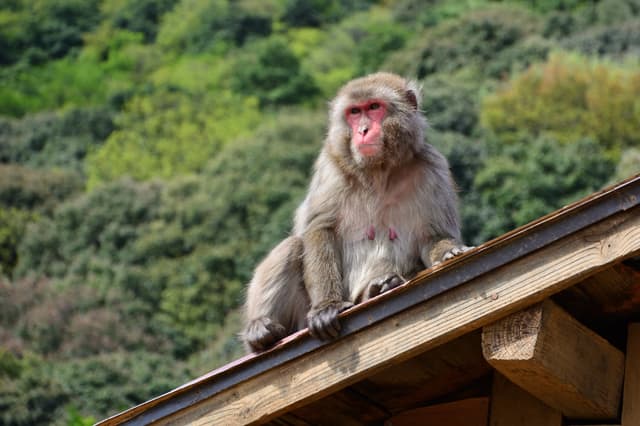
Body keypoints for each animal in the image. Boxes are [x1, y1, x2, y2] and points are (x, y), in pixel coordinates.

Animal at [242, 72, 470, 352]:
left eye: (373, 107)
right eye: (354, 112)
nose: (362, 130)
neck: (379, 171)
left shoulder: (432, 167)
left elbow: (432, 236)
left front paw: (449, 251)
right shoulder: (331, 167)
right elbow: (320, 228)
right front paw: (327, 306)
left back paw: (378, 287)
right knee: (293, 246)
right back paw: (260, 332)